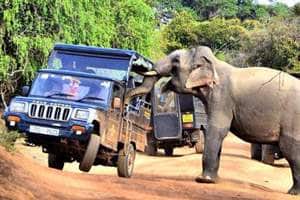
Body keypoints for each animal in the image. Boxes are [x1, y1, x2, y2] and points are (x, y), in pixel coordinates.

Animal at [125, 46, 300, 195]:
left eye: (176, 61)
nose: (125, 101)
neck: (214, 63)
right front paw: (214, 179)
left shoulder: (221, 97)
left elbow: (217, 130)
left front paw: (203, 180)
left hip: (292, 120)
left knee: (290, 149)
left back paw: (293, 192)